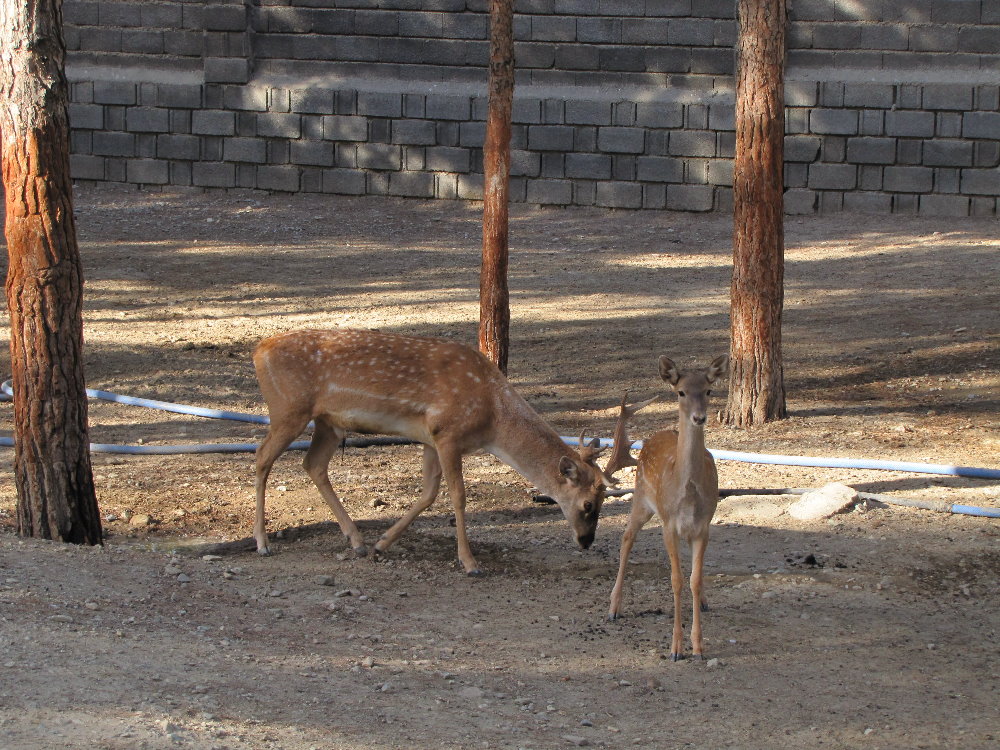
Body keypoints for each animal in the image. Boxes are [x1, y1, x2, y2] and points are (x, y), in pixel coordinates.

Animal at [252, 328, 615, 576]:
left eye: (603, 498)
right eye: (587, 504)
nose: (586, 541)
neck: (491, 420)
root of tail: (259, 350)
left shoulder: (429, 437)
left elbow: (428, 493)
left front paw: (382, 543)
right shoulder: (448, 433)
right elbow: (458, 495)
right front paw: (469, 562)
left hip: (327, 422)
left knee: (312, 464)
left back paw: (357, 541)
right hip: (288, 409)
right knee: (262, 457)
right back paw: (263, 543)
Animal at [604, 354, 729, 661]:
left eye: (709, 390)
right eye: (681, 392)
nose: (699, 417)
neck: (688, 493)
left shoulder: (703, 526)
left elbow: (694, 579)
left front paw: (699, 646)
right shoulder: (669, 524)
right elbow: (676, 581)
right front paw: (676, 648)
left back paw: (705, 601)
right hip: (641, 498)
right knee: (626, 538)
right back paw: (613, 607)